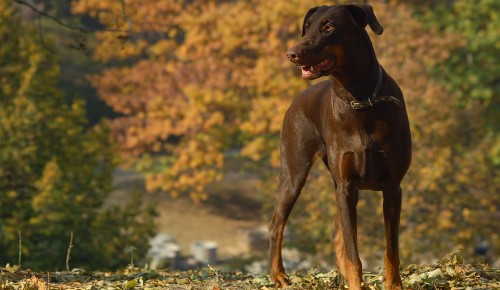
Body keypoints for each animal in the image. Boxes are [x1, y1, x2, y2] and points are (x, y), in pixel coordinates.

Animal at [268, 4, 412, 290]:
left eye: (329, 26)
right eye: (307, 26)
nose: (292, 53)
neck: (360, 100)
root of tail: (297, 99)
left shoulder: (392, 187)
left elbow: (391, 250)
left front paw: (394, 285)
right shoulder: (346, 185)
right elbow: (354, 254)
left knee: (337, 234)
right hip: (294, 173)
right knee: (277, 224)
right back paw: (278, 274)